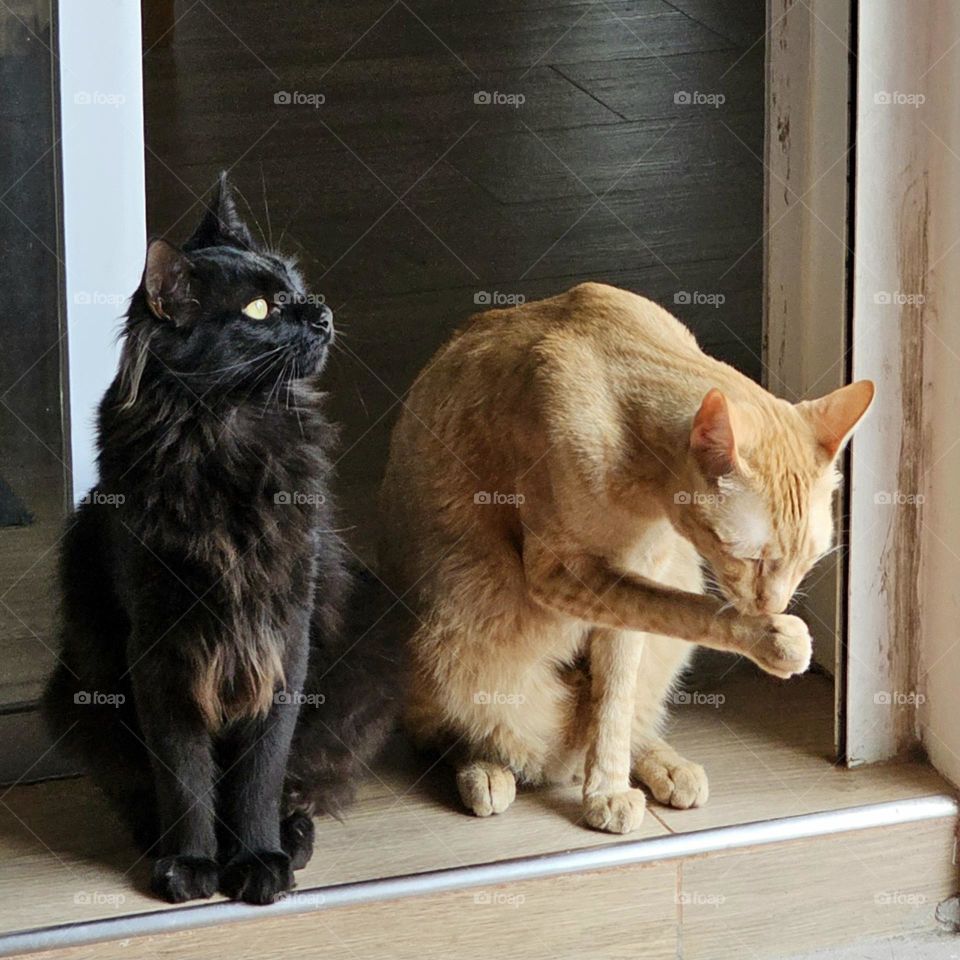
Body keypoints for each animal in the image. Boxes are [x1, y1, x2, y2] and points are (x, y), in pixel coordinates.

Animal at [41, 176, 400, 904]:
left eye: (294, 282)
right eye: (260, 309)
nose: (320, 313)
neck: (227, 434)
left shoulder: (283, 636)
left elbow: (261, 772)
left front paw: (258, 858)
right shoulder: (159, 645)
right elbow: (183, 773)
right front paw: (191, 862)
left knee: (301, 779)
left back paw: (292, 838)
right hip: (82, 689)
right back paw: (158, 840)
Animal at [378, 284, 872, 832]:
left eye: (809, 562)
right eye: (751, 557)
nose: (773, 606)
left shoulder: (635, 578)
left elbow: (616, 694)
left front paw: (608, 787)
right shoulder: (564, 573)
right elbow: (691, 614)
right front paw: (773, 639)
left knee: (621, 712)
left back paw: (664, 764)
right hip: (454, 606)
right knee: (453, 731)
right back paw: (483, 768)